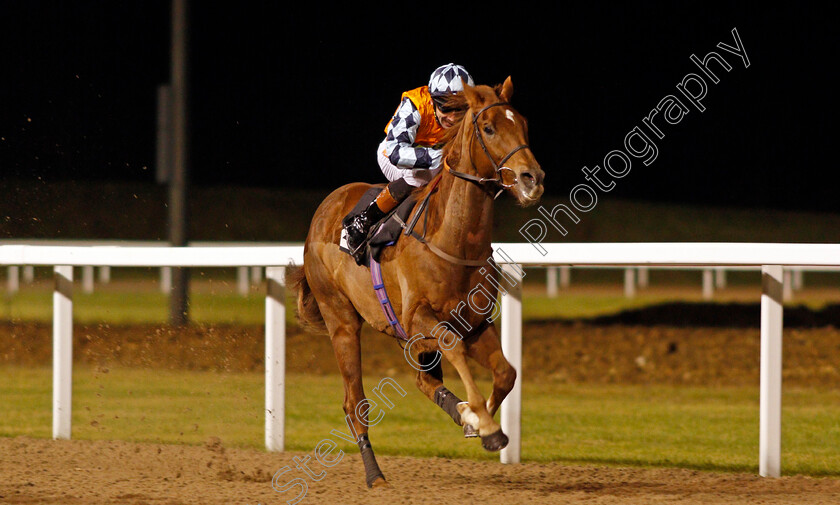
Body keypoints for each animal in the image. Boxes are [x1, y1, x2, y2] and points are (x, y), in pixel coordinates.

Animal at [288, 77, 540, 486]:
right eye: (489, 128)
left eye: (523, 124)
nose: (533, 179)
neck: (452, 240)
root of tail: (325, 208)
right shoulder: (420, 319)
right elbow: (453, 346)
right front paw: (484, 423)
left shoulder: (474, 322)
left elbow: (506, 372)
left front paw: (480, 420)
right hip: (341, 320)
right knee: (354, 403)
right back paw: (375, 474)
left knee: (425, 382)